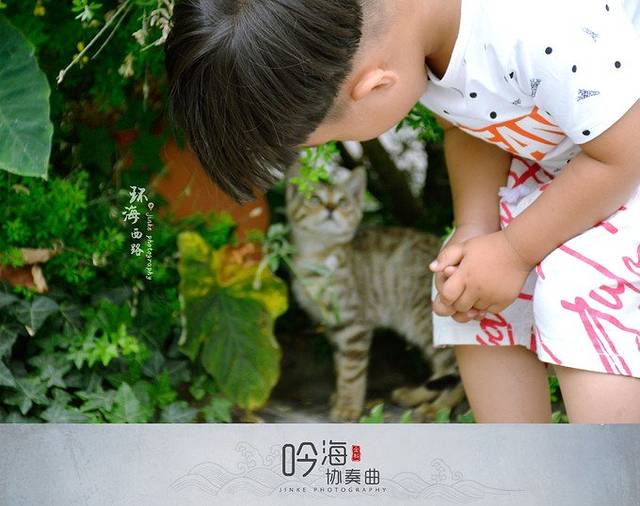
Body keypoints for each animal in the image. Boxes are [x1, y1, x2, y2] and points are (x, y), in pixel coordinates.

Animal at [286, 165, 465, 422]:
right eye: (315, 199)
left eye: (342, 202)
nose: (330, 208)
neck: (317, 258)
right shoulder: (334, 325)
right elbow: (340, 365)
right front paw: (340, 397)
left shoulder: (353, 323)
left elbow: (351, 370)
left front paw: (348, 406)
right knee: (444, 372)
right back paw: (412, 395)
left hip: (425, 321)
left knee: (456, 372)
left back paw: (436, 409)